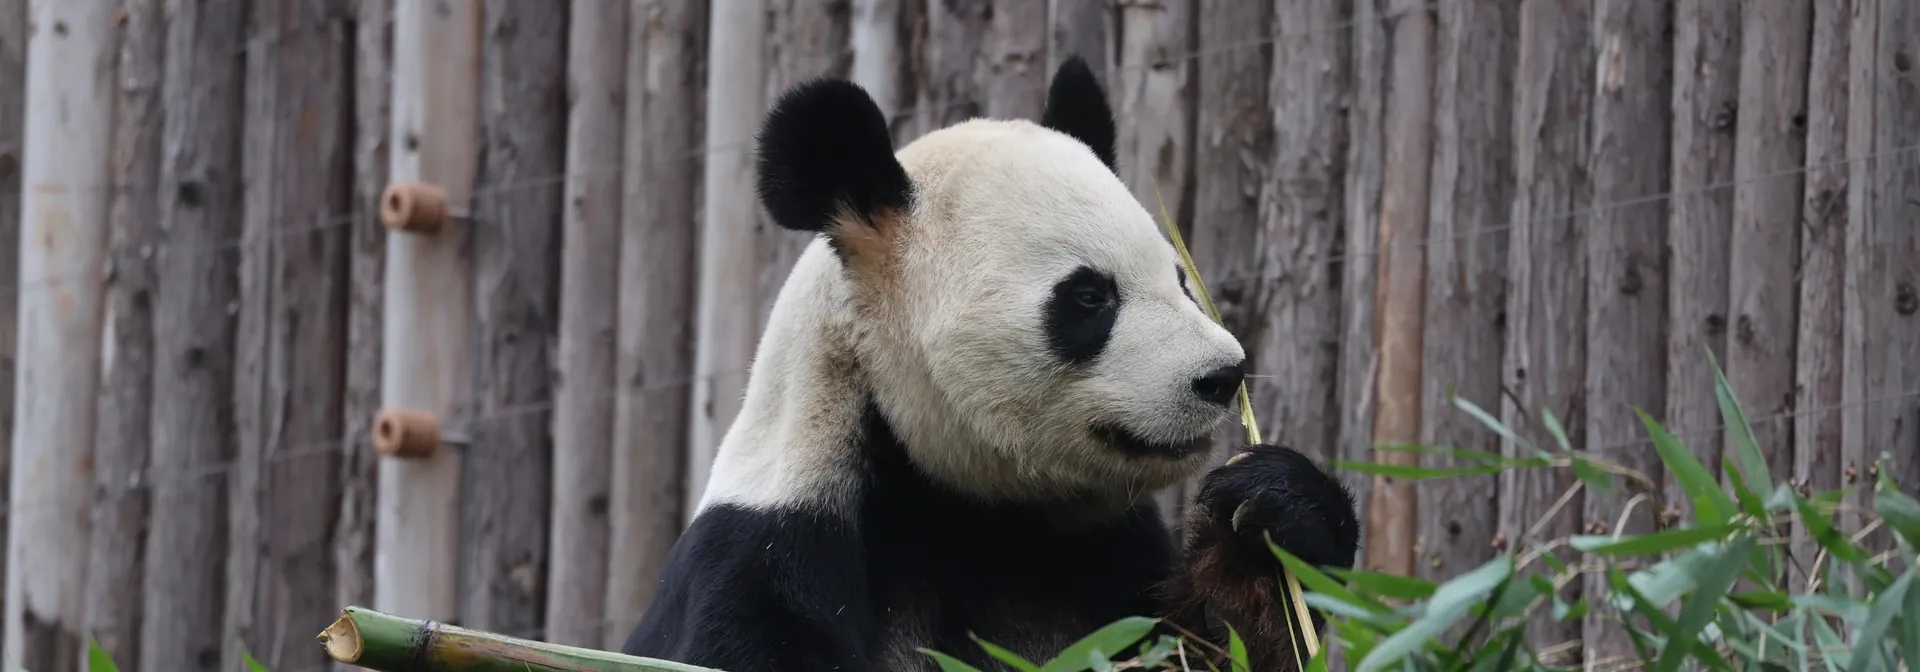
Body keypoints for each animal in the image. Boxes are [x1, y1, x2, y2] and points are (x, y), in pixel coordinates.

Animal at [620, 56, 1360, 672]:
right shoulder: (771, 554)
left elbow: (1210, 643)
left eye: (1181, 281)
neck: (964, 507)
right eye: (1089, 297)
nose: (1222, 375)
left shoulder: (1102, 559)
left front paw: (1272, 517)